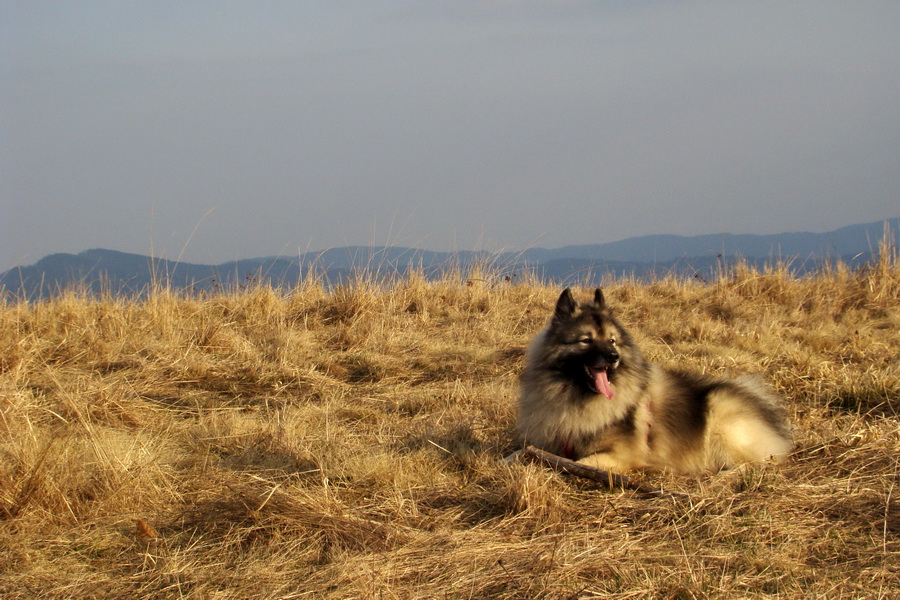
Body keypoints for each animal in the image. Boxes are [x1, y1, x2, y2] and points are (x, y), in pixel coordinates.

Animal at [516, 288, 792, 476]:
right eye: (586, 340)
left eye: (612, 340)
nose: (613, 356)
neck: (576, 397)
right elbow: (522, 452)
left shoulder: (621, 455)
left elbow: (576, 463)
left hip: (721, 420)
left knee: (752, 465)